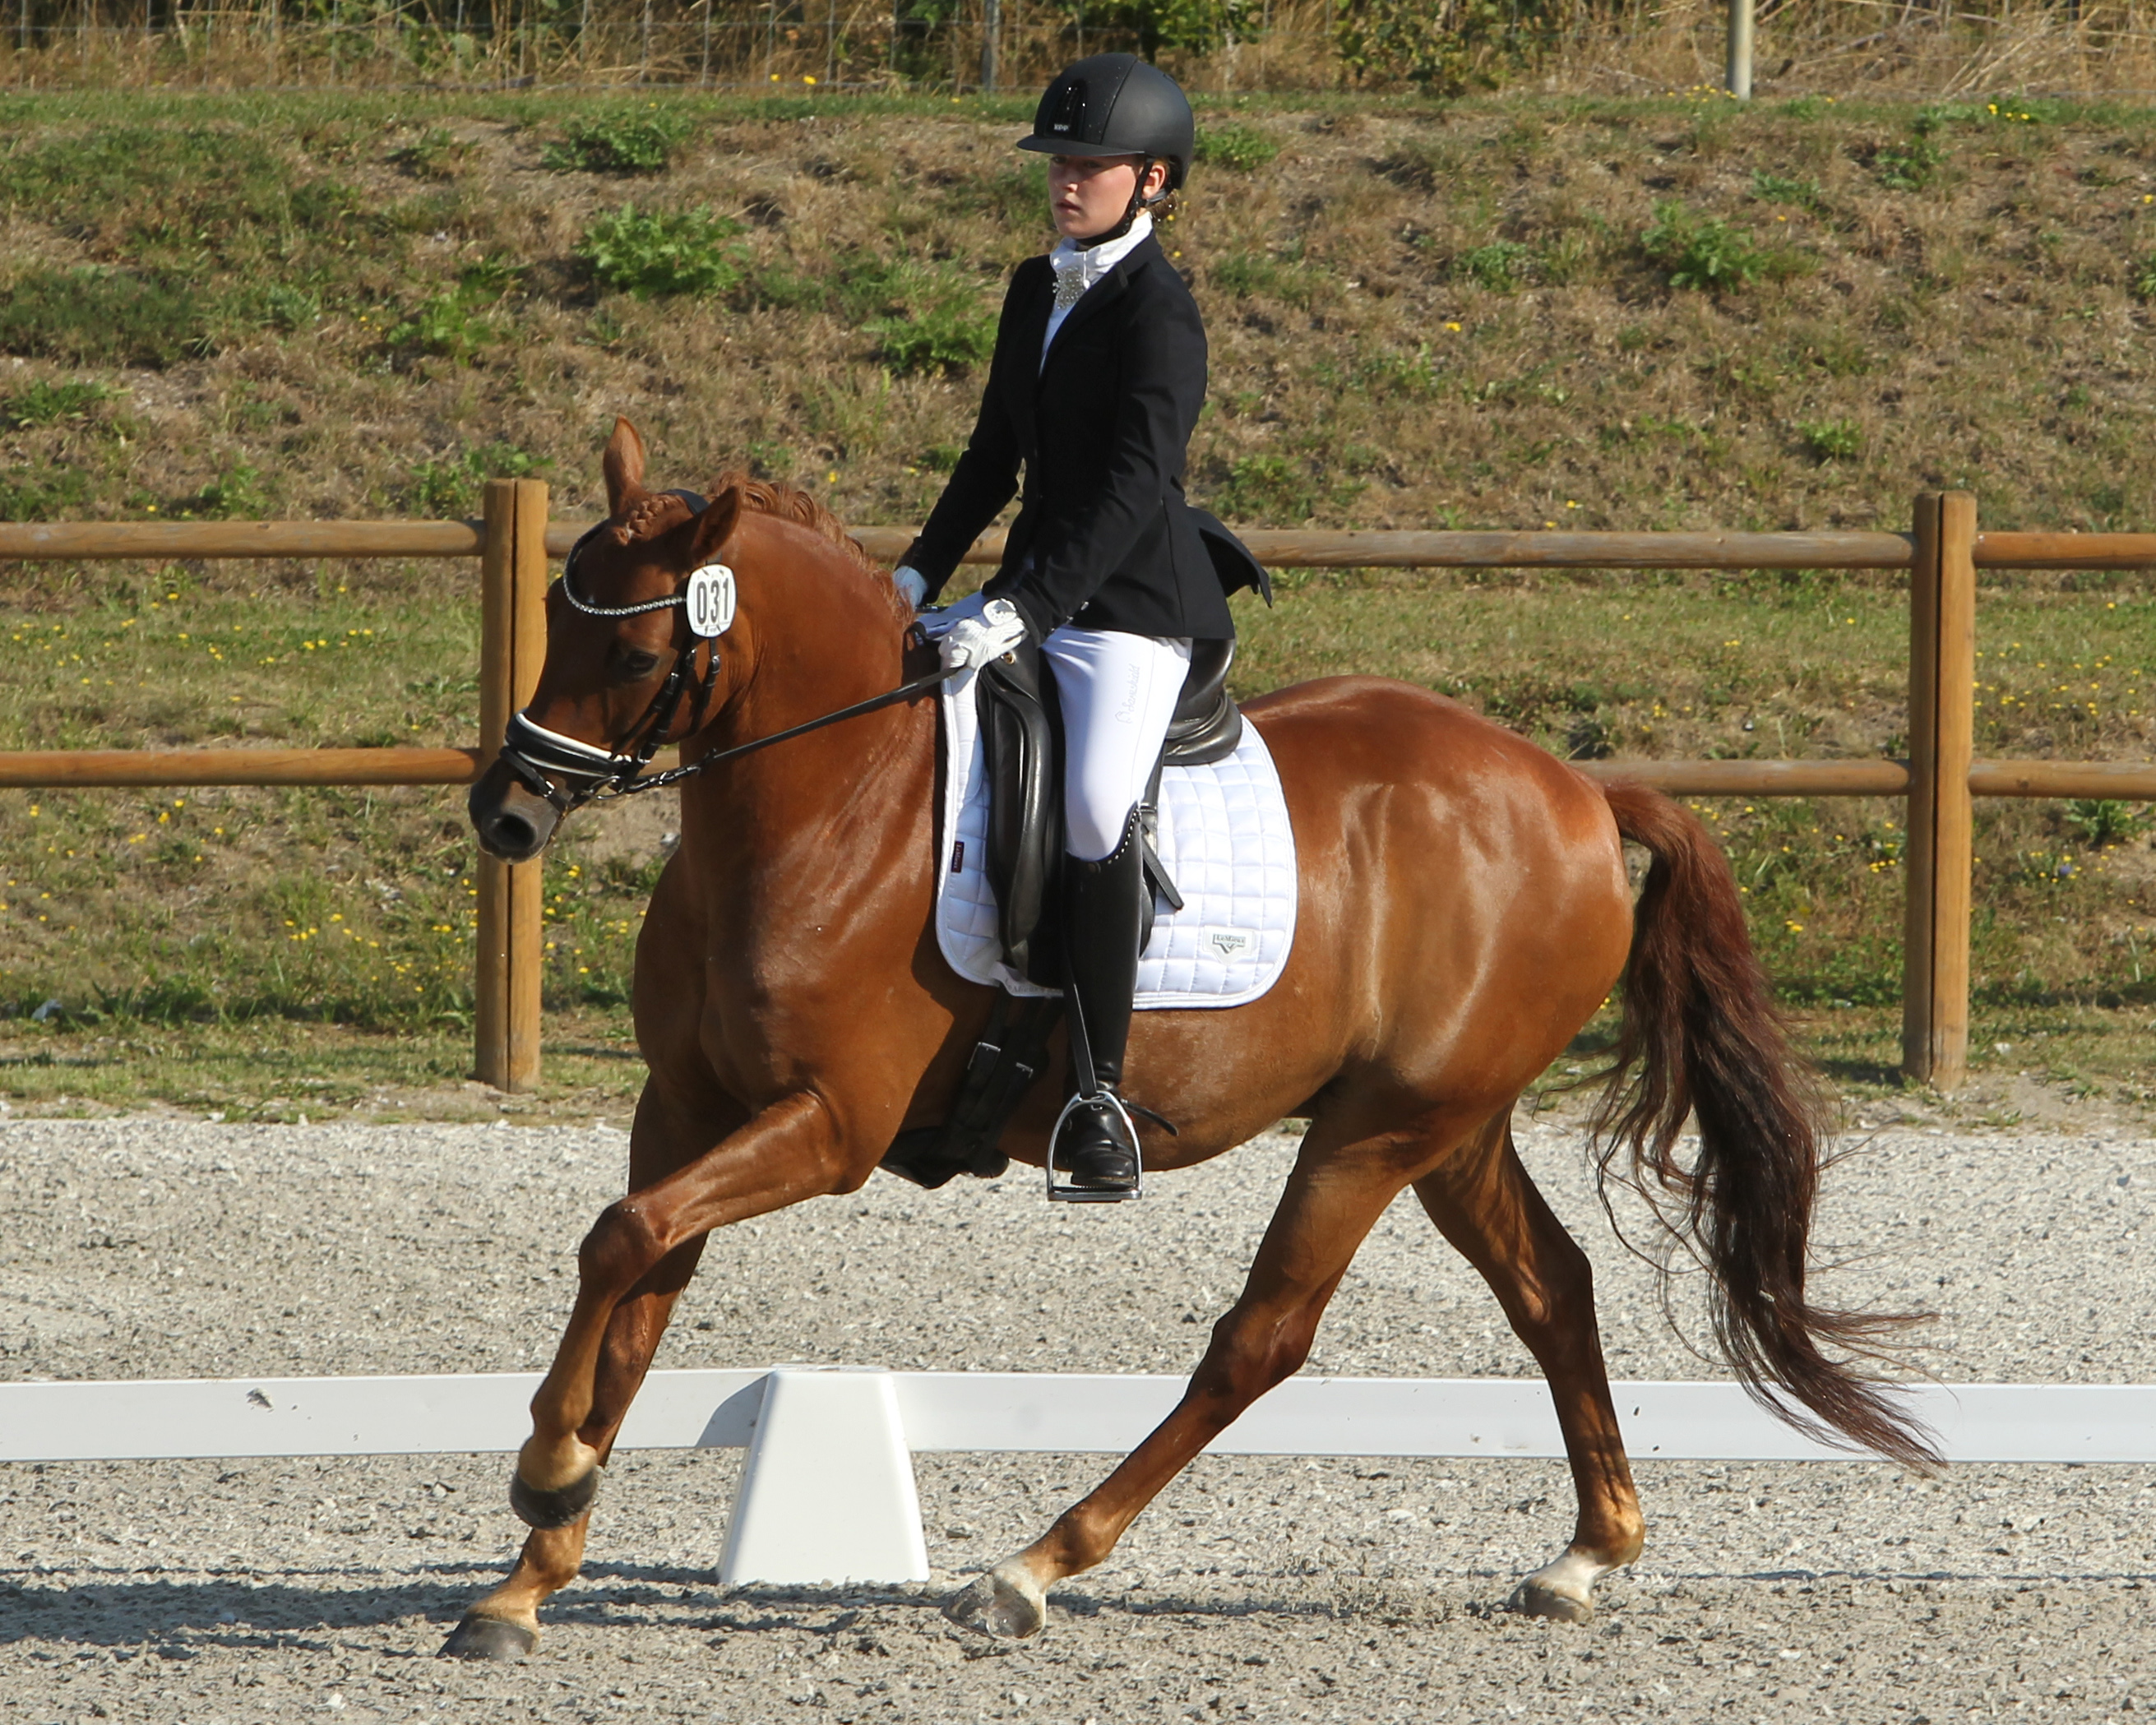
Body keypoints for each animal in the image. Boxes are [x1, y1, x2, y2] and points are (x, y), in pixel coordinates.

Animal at [446, 418, 1932, 1656]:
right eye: (550, 621)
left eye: (637, 653)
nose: (507, 813)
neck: (830, 798)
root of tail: (1573, 788)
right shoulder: (686, 1107)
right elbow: (635, 1284)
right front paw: (530, 1571)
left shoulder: (827, 1124)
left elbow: (621, 1239)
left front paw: (544, 1468)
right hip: (1446, 1122)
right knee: (1550, 1286)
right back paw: (1584, 1555)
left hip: (1375, 1128)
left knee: (1261, 1338)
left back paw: (1032, 1567)